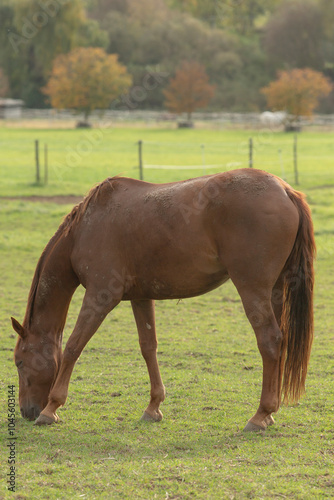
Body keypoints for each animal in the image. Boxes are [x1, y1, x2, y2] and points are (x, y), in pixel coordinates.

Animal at [11, 168, 314, 430]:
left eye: (19, 362)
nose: (26, 411)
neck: (85, 228)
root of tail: (284, 190)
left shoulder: (99, 297)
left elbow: (74, 346)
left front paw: (52, 408)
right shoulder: (141, 298)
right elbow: (149, 347)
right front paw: (153, 406)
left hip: (252, 288)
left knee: (269, 341)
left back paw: (260, 414)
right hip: (274, 291)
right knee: (280, 342)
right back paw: (269, 414)